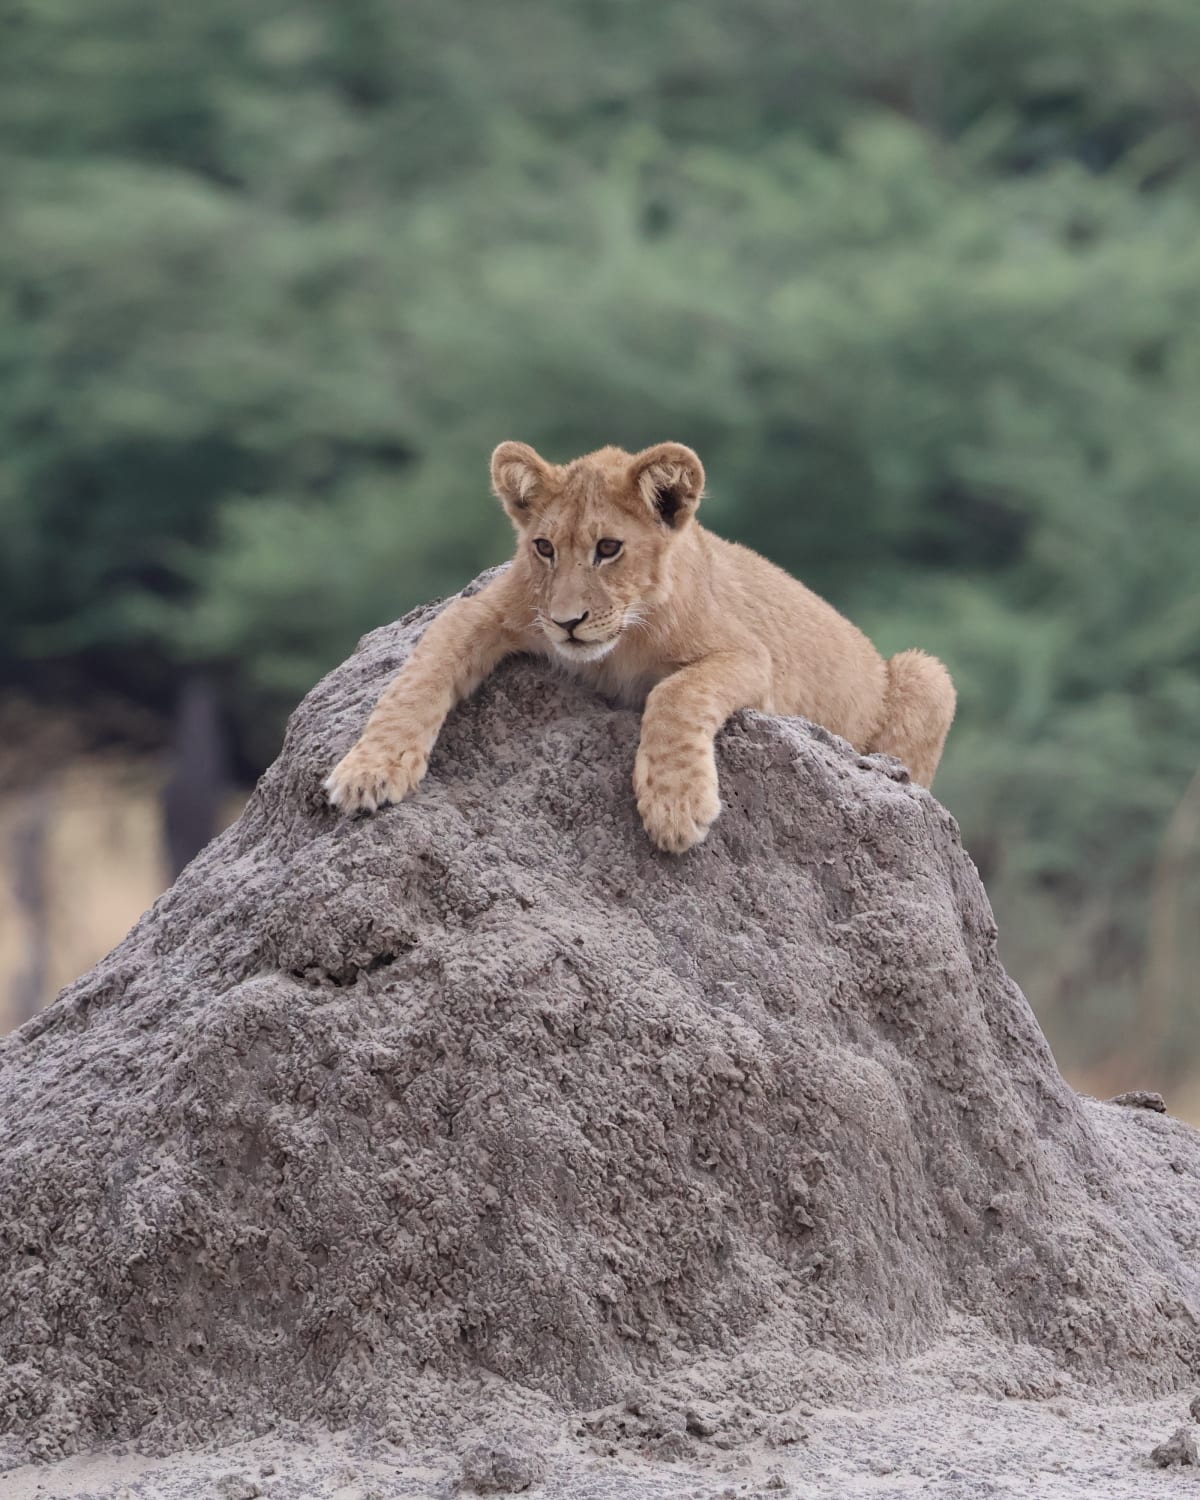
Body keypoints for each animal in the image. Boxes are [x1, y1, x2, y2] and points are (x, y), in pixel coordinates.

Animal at [324, 441, 956, 853]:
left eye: (608, 548)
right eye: (544, 548)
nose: (567, 622)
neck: (621, 639)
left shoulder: (751, 658)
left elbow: (676, 693)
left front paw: (675, 807)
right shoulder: (483, 610)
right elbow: (417, 677)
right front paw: (368, 771)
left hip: (927, 673)